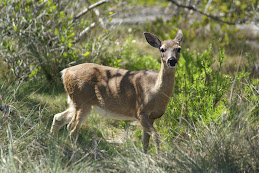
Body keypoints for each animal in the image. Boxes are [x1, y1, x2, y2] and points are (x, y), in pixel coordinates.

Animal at [50, 29, 184, 153]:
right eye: (162, 49)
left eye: (178, 49)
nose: (172, 60)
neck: (154, 91)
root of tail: (65, 72)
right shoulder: (140, 112)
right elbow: (155, 136)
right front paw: (158, 158)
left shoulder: (152, 117)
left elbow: (145, 141)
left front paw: (148, 158)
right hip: (82, 100)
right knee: (72, 128)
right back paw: (76, 151)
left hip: (77, 103)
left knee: (58, 117)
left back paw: (53, 144)